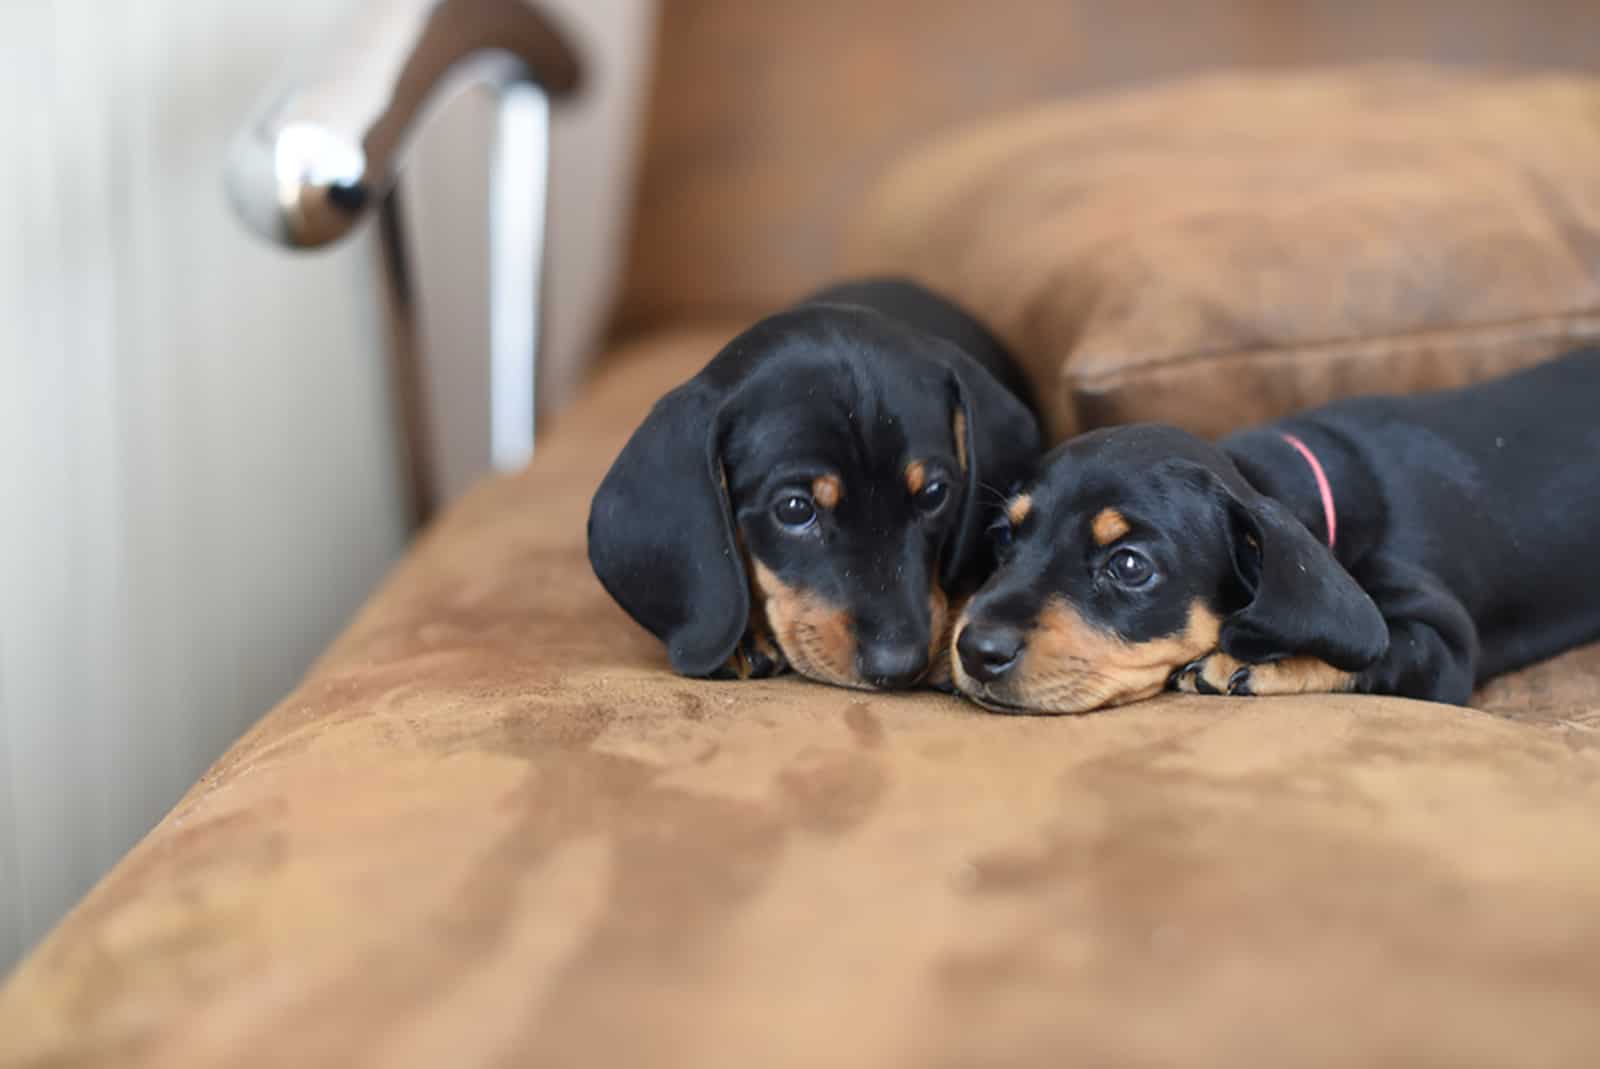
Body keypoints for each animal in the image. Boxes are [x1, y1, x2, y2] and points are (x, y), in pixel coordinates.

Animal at [947, 347, 1600, 713]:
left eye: (1130, 565)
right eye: (1003, 538)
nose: (975, 651)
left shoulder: (1444, 647)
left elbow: (1379, 651)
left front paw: (1255, 664)